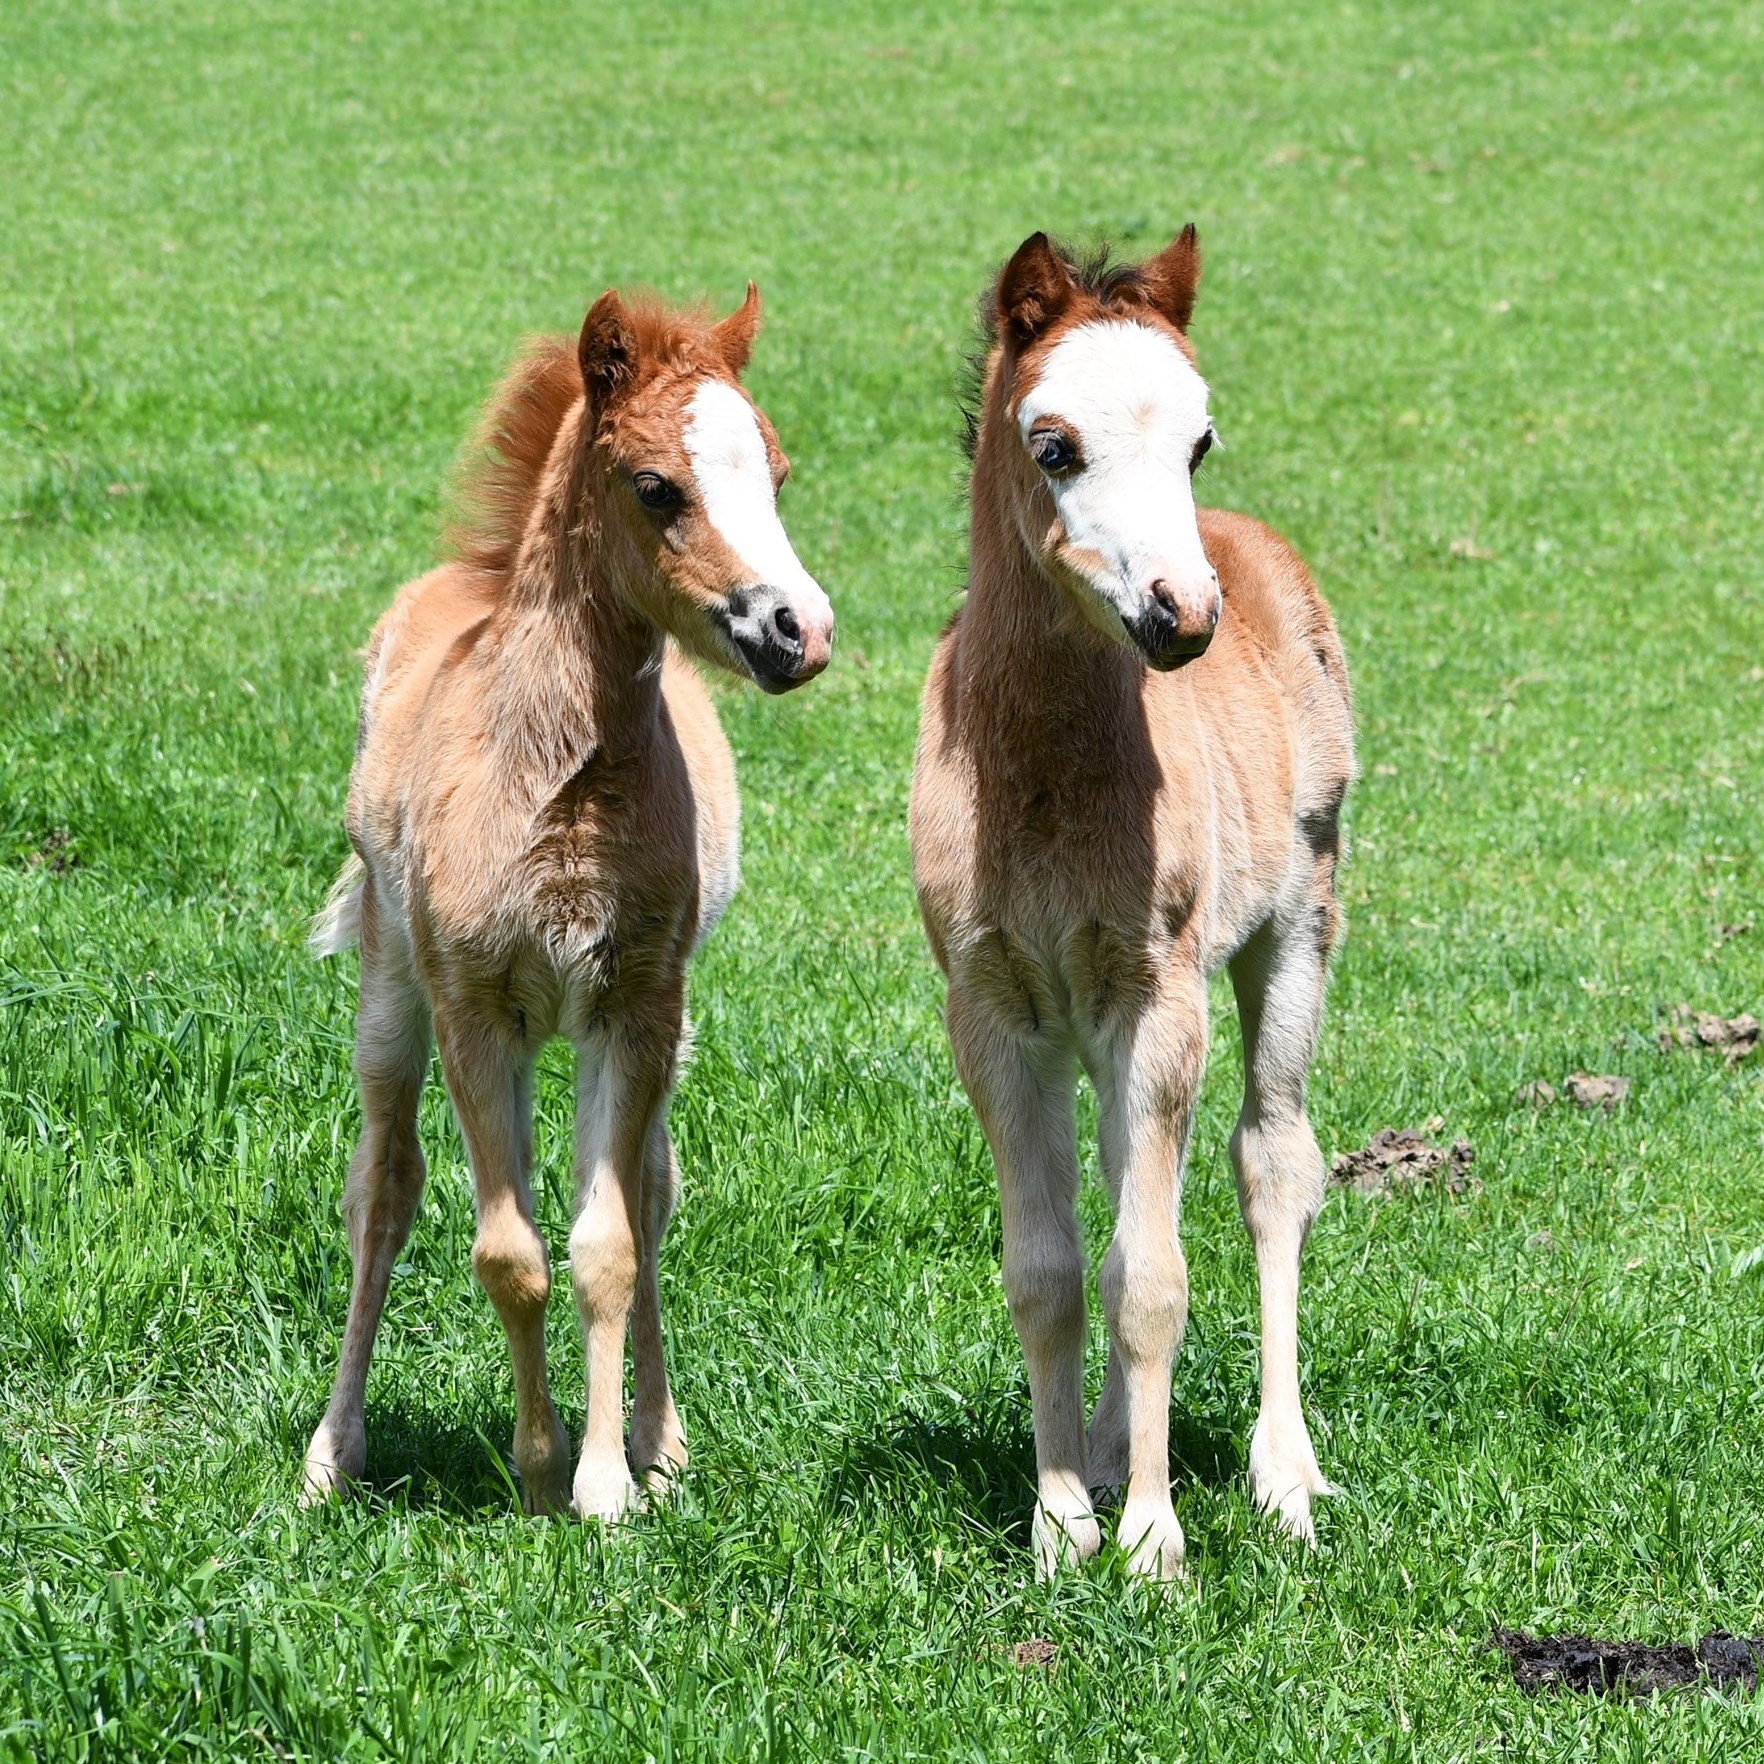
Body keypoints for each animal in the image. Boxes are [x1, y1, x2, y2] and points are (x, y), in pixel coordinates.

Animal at [306, 282, 836, 1524]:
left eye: (778, 474)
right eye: (656, 486)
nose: (800, 630)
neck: (557, 784)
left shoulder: (632, 1004)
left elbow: (608, 1245)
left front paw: (605, 1483)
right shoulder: (473, 1011)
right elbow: (507, 1252)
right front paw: (540, 1471)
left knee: (649, 1187)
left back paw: (661, 1441)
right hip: (391, 994)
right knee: (382, 1189)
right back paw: (331, 1454)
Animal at [917, 227, 1354, 1580]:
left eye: (1198, 441)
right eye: (1054, 445)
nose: (1183, 612)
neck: (1047, 776)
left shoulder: (1158, 996)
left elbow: (1152, 1279)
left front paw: (1154, 1543)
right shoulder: (994, 1012)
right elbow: (1054, 1272)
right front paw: (1063, 1522)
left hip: (1298, 925)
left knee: (1274, 1161)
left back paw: (1284, 1475)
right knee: (1123, 1186)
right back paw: (1111, 1451)